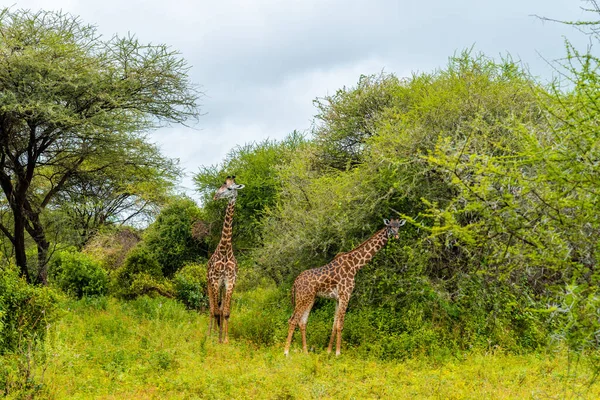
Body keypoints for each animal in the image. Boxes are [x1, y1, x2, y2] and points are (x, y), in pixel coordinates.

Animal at [284, 219, 406, 356]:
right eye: (389, 226)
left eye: (398, 226)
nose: (396, 235)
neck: (355, 265)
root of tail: (295, 282)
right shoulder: (346, 295)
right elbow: (340, 325)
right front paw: (338, 353)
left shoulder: (338, 298)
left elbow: (334, 324)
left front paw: (329, 351)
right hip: (302, 298)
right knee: (293, 320)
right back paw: (286, 352)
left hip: (310, 299)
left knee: (302, 322)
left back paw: (305, 352)